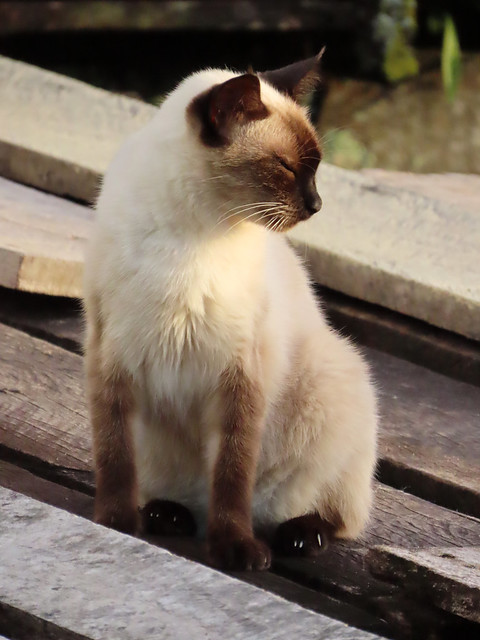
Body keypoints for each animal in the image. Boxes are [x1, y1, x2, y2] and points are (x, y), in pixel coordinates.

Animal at [83, 53, 378, 568]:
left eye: (315, 169)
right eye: (284, 167)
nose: (317, 204)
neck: (197, 235)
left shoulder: (241, 376)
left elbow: (231, 471)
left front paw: (236, 550)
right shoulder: (111, 356)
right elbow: (115, 457)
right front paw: (115, 524)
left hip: (335, 381)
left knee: (330, 512)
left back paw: (299, 536)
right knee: (187, 495)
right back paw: (168, 515)